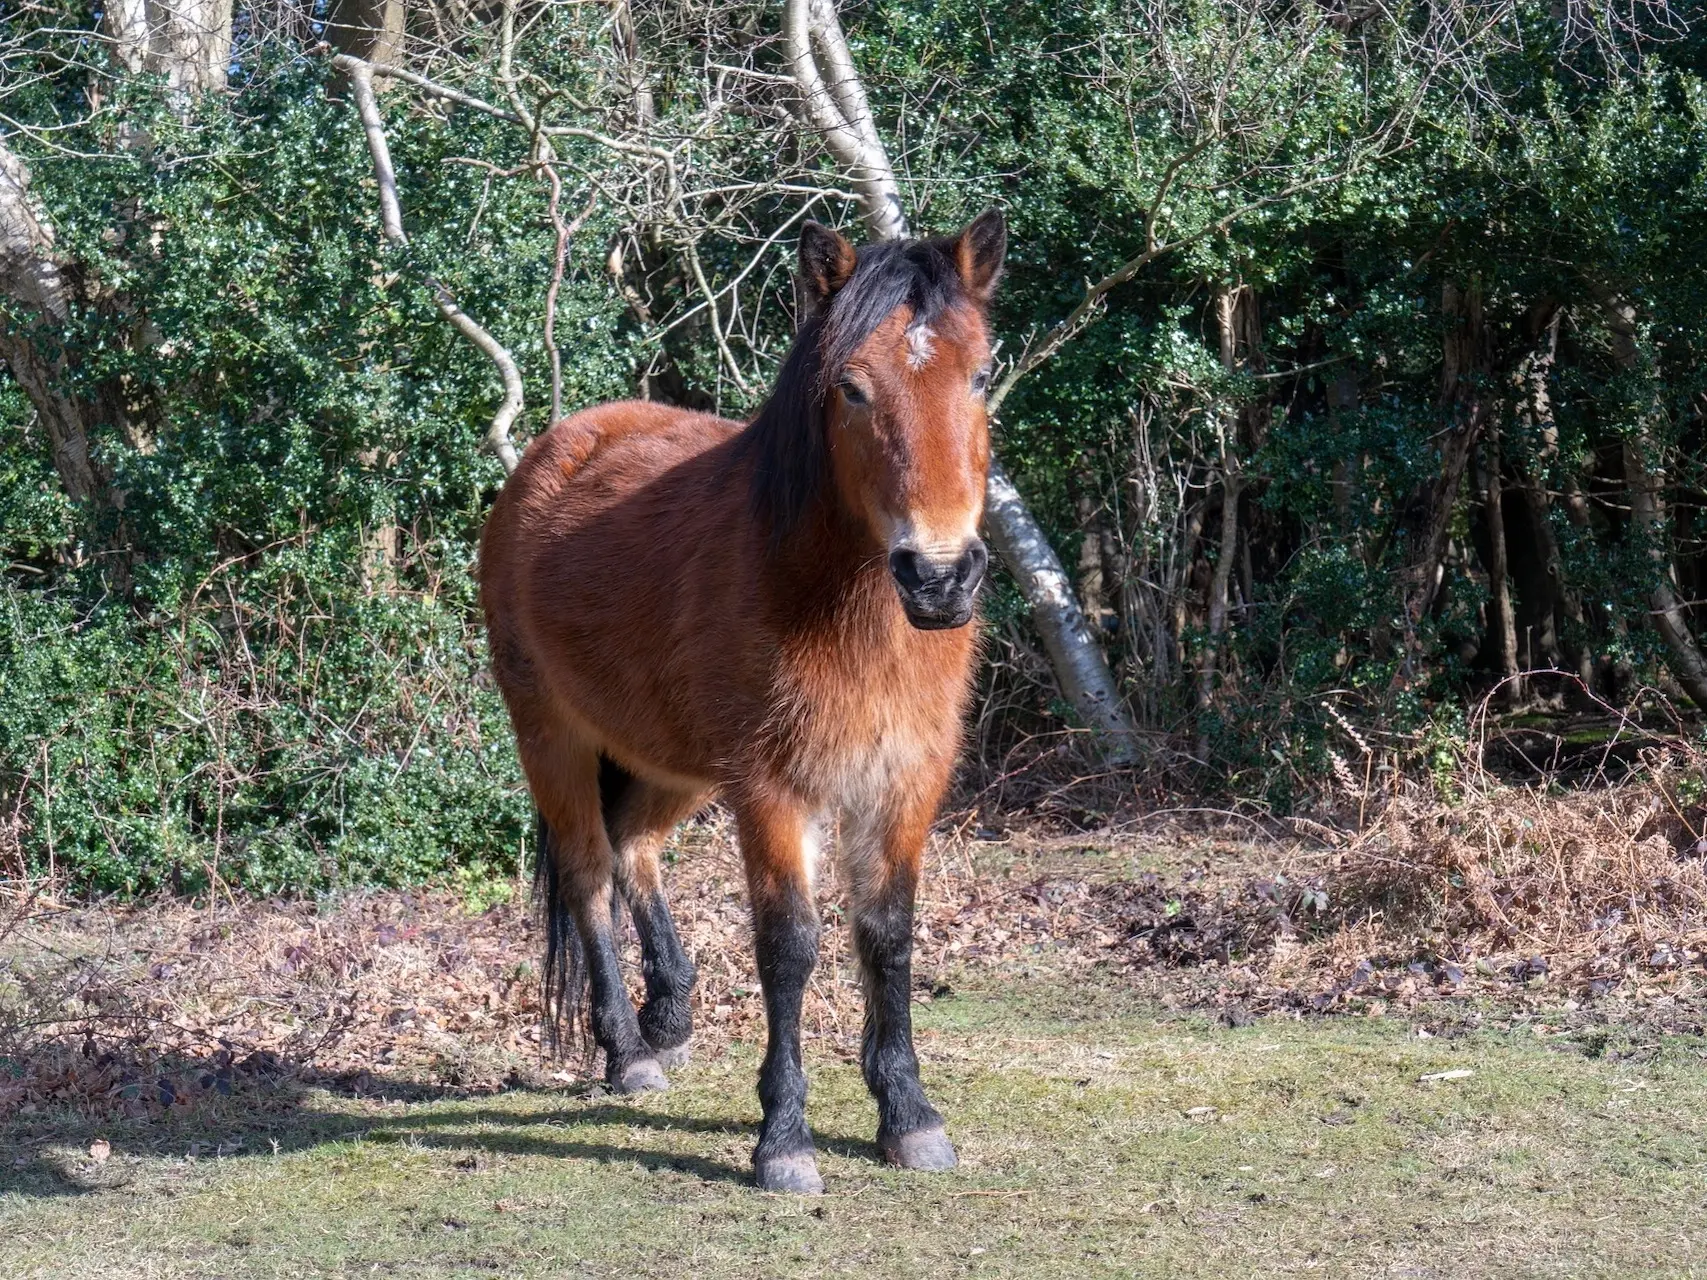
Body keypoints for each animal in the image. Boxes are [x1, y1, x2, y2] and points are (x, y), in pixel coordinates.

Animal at [481, 208, 1003, 1194]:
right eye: (851, 388)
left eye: (982, 373)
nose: (939, 576)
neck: (842, 607)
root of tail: (557, 446)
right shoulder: (770, 790)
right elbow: (790, 946)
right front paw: (784, 1141)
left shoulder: (904, 782)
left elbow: (887, 936)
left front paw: (909, 1116)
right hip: (553, 738)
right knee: (589, 872)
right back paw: (628, 1052)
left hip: (668, 759)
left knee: (635, 848)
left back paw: (670, 1015)